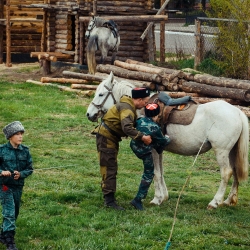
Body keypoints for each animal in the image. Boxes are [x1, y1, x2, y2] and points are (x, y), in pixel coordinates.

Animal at [87, 72, 249, 209]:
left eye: (101, 94)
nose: (89, 114)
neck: (143, 109)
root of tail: (238, 112)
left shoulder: (152, 149)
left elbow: (155, 173)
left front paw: (157, 199)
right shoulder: (159, 149)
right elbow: (161, 172)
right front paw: (163, 196)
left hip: (221, 151)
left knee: (226, 173)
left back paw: (215, 202)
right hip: (231, 152)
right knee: (235, 171)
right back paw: (229, 200)